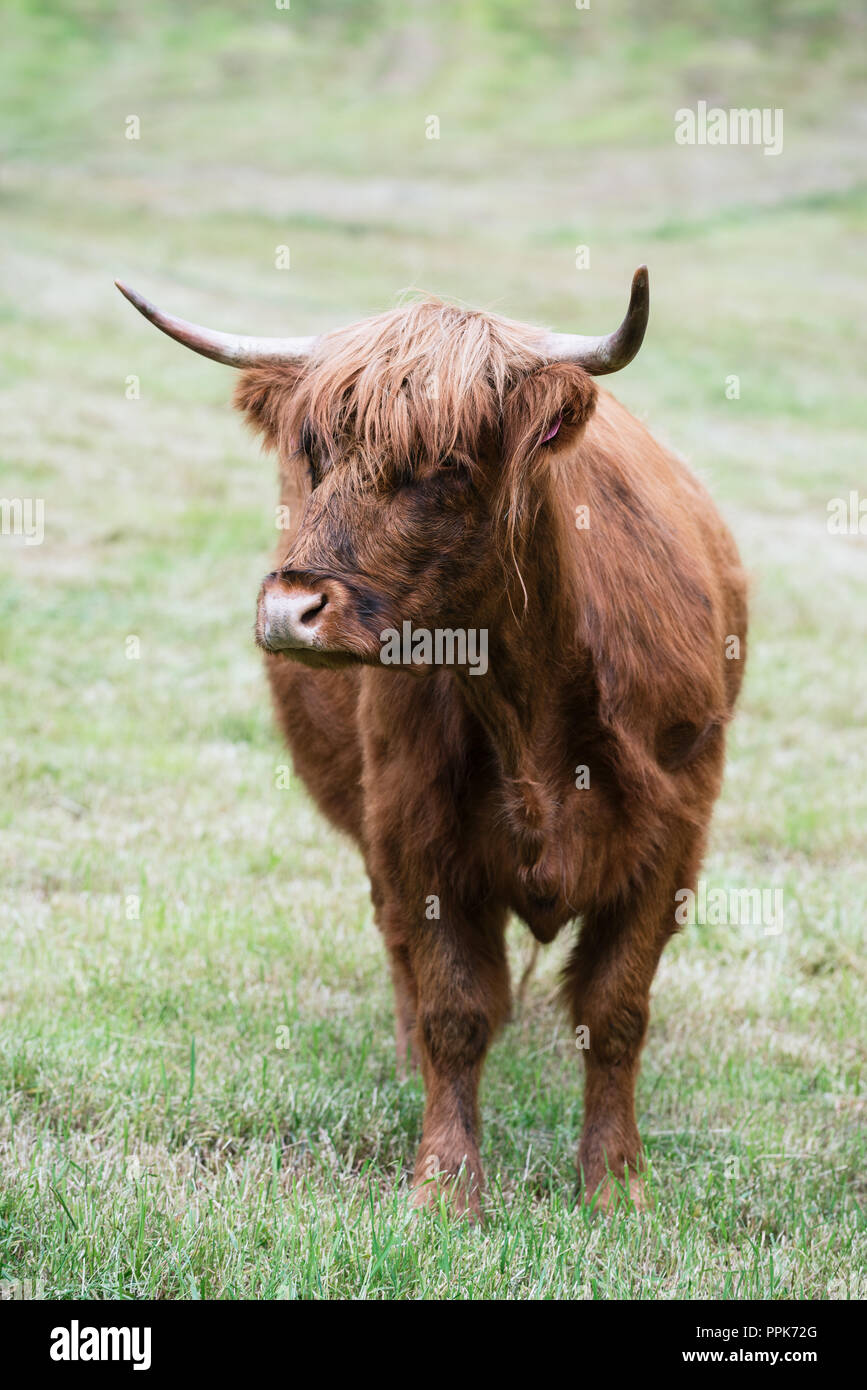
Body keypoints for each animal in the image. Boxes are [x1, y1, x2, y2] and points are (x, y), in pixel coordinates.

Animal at [118, 265, 750, 1212]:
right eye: (316, 455)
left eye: (447, 465)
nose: (289, 610)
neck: (529, 710)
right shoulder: (415, 837)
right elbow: (453, 1009)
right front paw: (445, 1187)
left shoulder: (671, 838)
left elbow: (614, 1012)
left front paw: (616, 1185)